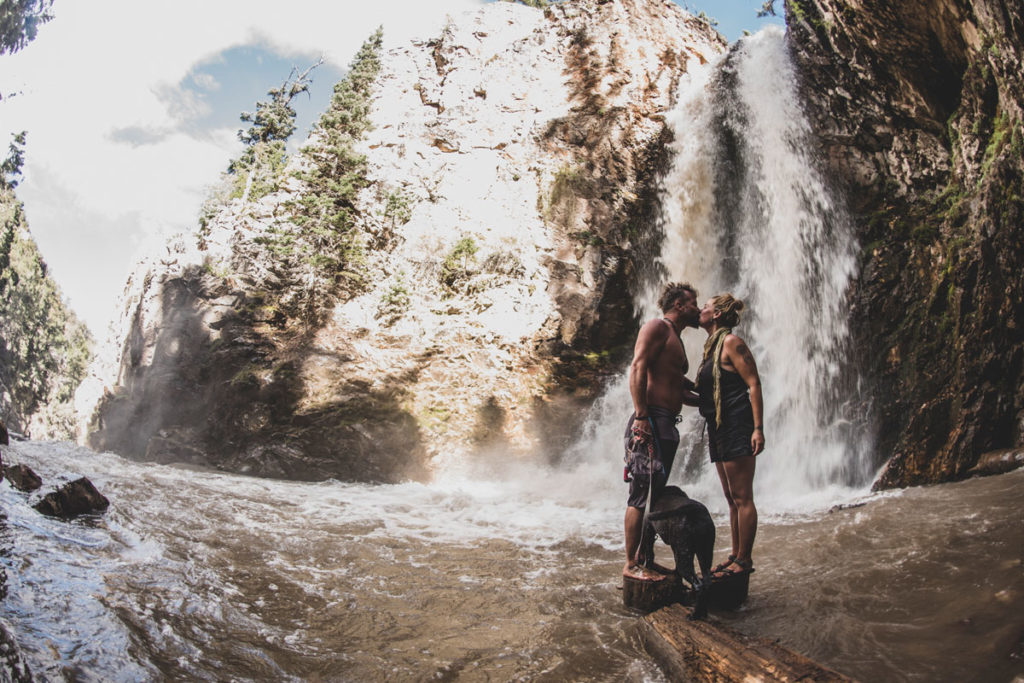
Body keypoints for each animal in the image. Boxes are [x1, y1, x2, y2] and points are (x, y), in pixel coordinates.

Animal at [634, 485, 716, 618]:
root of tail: (695, 510)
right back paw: (703, 612)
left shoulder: (648, 530)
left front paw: (648, 567)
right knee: (707, 582)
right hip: (705, 552)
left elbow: (650, 553)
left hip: (685, 554)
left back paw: (694, 615)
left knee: (698, 585)